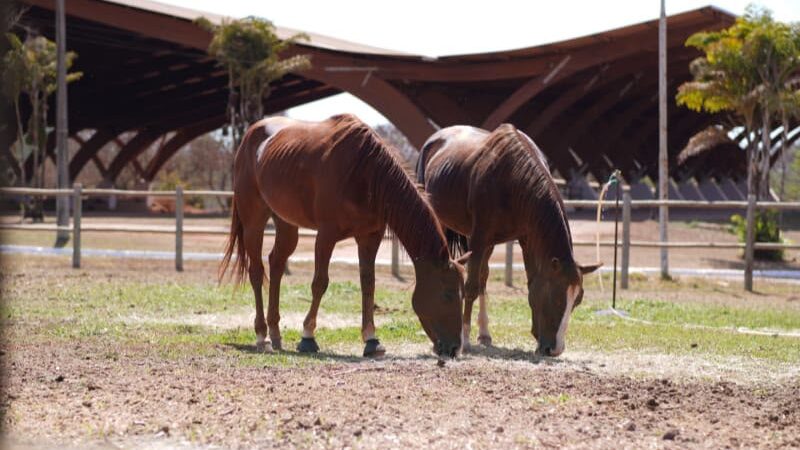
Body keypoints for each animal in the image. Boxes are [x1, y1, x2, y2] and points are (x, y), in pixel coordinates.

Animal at [220, 114, 465, 359]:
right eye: (447, 295)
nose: (454, 348)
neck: (364, 172)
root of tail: (251, 134)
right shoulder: (326, 236)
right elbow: (320, 283)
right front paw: (307, 337)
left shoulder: (369, 237)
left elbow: (368, 284)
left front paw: (371, 340)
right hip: (254, 221)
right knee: (256, 271)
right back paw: (262, 336)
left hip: (286, 223)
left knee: (276, 264)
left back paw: (275, 333)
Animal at [416, 124, 601, 357]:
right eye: (557, 297)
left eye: (577, 300)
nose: (555, 349)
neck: (512, 178)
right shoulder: (479, 237)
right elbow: (471, 287)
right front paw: (464, 339)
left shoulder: (525, 239)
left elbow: (529, 283)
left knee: (483, 277)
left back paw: (484, 333)